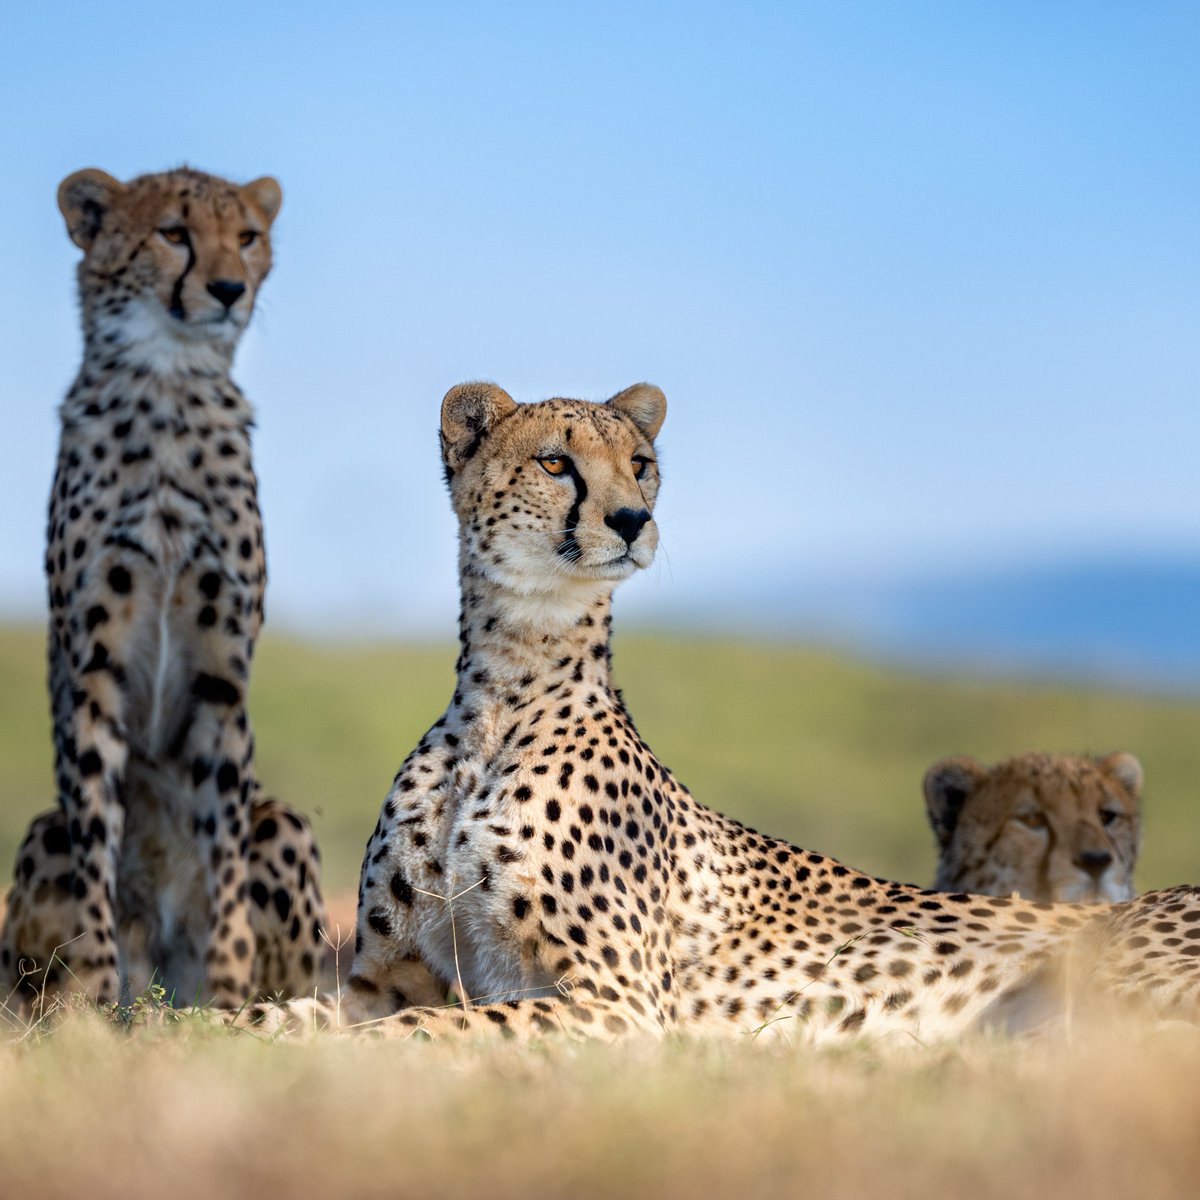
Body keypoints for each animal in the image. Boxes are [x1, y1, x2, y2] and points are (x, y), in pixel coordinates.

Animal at [0, 166, 328, 1011]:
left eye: (247, 236)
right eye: (172, 233)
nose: (229, 288)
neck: (169, 387)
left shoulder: (221, 674)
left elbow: (225, 862)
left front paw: (230, 988)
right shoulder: (95, 667)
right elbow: (97, 847)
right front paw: (92, 991)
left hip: (285, 825)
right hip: (40, 837)